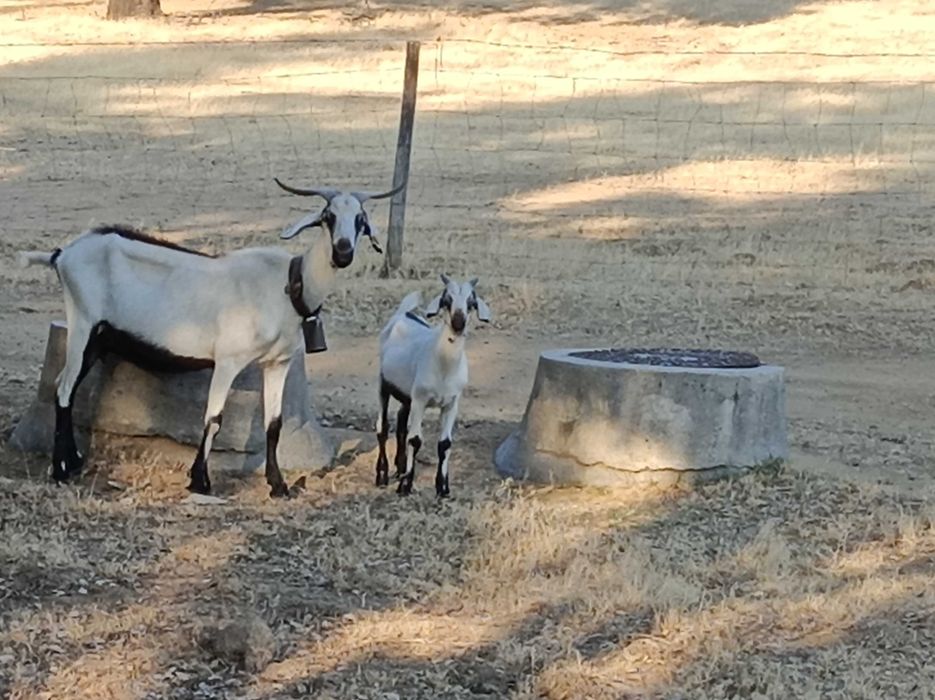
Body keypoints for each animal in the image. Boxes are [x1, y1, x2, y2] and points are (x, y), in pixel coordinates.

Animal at [18, 177, 404, 498]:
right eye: (327, 216)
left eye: (360, 220)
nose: (343, 251)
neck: (289, 285)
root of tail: (62, 255)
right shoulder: (228, 359)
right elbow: (213, 417)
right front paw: (200, 481)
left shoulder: (277, 363)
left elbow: (274, 424)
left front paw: (278, 485)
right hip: (82, 323)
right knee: (64, 389)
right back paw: (60, 469)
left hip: (99, 337)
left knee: (66, 386)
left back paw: (73, 460)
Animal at [376, 275, 491, 497]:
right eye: (446, 300)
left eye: (471, 303)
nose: (458, 323)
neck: (444, 366)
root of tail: (403, 313)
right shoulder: (420, 400)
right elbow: (415, 439)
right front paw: (405, 486)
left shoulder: (451, 403)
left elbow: (445, 443)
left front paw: (443, 488)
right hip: (384, 385)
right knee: (383, 427)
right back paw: (382, 476)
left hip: (408, 396)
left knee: (401, 422)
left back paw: (399, 468)